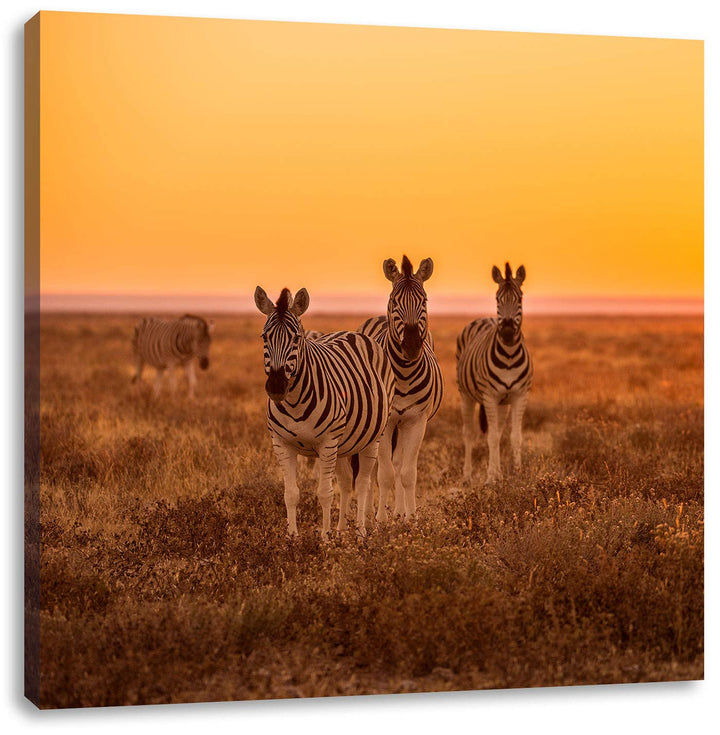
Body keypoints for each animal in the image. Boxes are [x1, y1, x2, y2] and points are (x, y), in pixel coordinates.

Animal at [254, 286, 394, 537]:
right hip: (343, 443)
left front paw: (325, 539)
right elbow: (291, 493)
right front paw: (292, 538)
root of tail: (352, 333)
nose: (277, 386)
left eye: (296, 338)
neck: (294, 402)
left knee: (363, 483)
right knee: (347, 482)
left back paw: (360, 532)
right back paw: (341, 531)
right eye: (264, 337)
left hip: (372, 438)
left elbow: (325, 494)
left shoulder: (327, 443)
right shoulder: (281, 443)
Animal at [358, 255, 444, 521]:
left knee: (397, 463)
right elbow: (384, 473)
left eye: (424, 301)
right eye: (394, 301)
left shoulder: (417, 420)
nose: (412, 346)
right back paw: (369, 512)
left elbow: (407, 472)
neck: (404, 374)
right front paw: (380, 520)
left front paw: (410, 518)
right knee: (374, 467)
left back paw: (397, 511)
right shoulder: (386, 423)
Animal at [456, 262, 533, 483]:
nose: (506, 333)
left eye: (520, 298)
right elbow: (489, 437)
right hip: (466, 395)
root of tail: (485, 318)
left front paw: (517, 473)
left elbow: (514, 436)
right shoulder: (489, 396)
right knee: (469, 433)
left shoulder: (519, 395)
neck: (509, 356)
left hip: (503, 403)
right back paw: (467, 476)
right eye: (498, 299)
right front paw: (490, 478)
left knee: (498, 432)